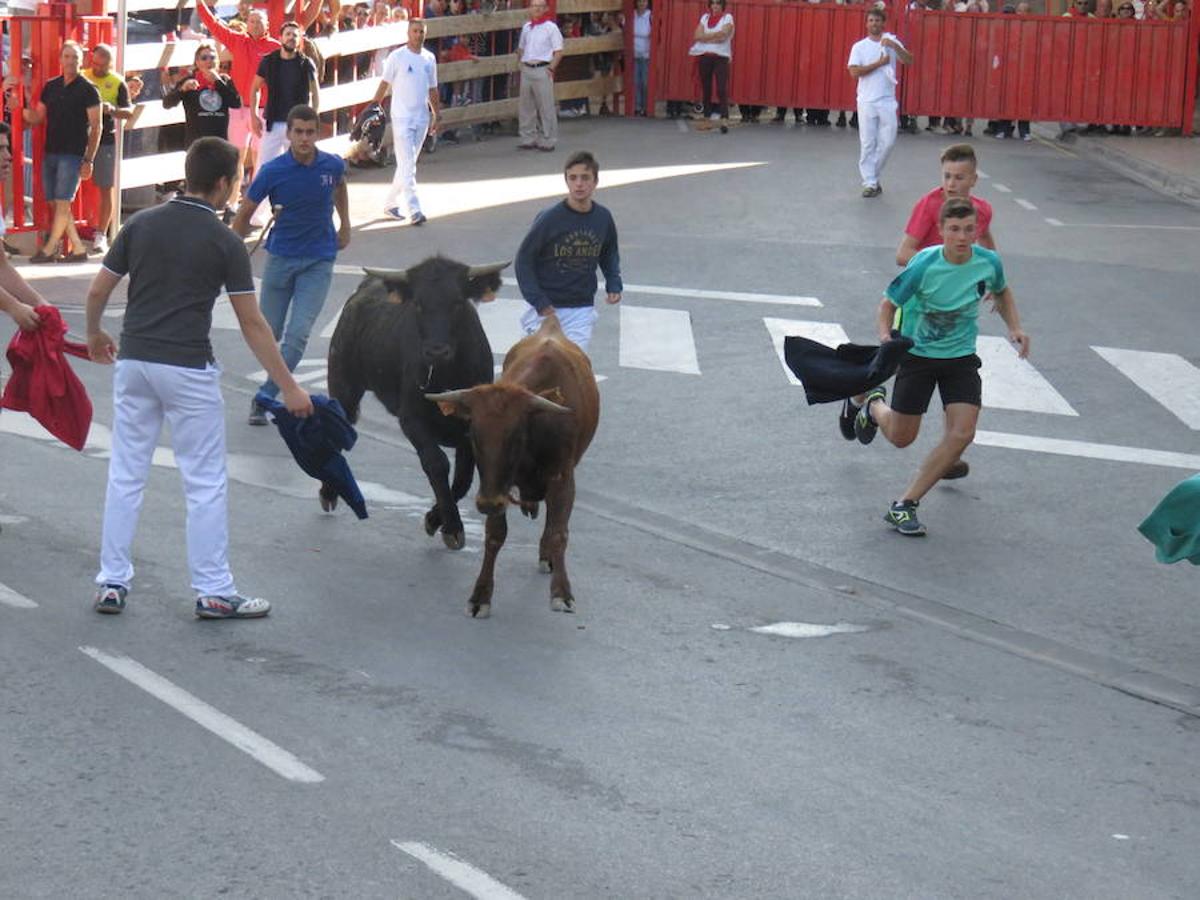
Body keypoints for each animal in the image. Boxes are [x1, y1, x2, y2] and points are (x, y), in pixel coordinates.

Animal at [321, 255, 508, 549]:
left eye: (457, 302)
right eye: (418, 304)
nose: (436, 351)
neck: (446, 375)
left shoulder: (470, 428)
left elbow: (464, 477)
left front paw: (435, 519)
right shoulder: (411, 419)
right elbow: (437, 463)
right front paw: (452, 527)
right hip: (344, 388)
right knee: (336, 429)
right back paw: (328, 493)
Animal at [429, 314, 600, 619]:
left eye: (516, 435)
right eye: (473, 434)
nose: (486, 504)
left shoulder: (563, 477)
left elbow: (558, 532)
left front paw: (561, 593)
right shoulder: (497, 486)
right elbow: (495, 534)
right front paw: (480, 596)